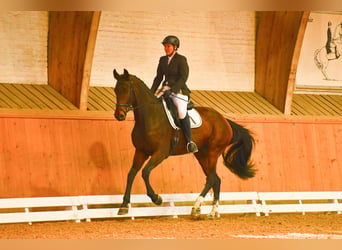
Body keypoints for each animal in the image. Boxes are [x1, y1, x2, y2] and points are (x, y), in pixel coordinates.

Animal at [113, 69, 255, 219]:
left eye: (126, 89)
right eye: (116, 90)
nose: (119, 116)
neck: (150, 117)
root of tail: (224, 120)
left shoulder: (160, 153)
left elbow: (145, 172)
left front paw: (157, 198)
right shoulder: (141, 151)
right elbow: (131, 174)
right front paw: (123, 206)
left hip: (213, 152)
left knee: (211, 178)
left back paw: (196, 206)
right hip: (202, 155)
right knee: (216, 179)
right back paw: (212, 212)